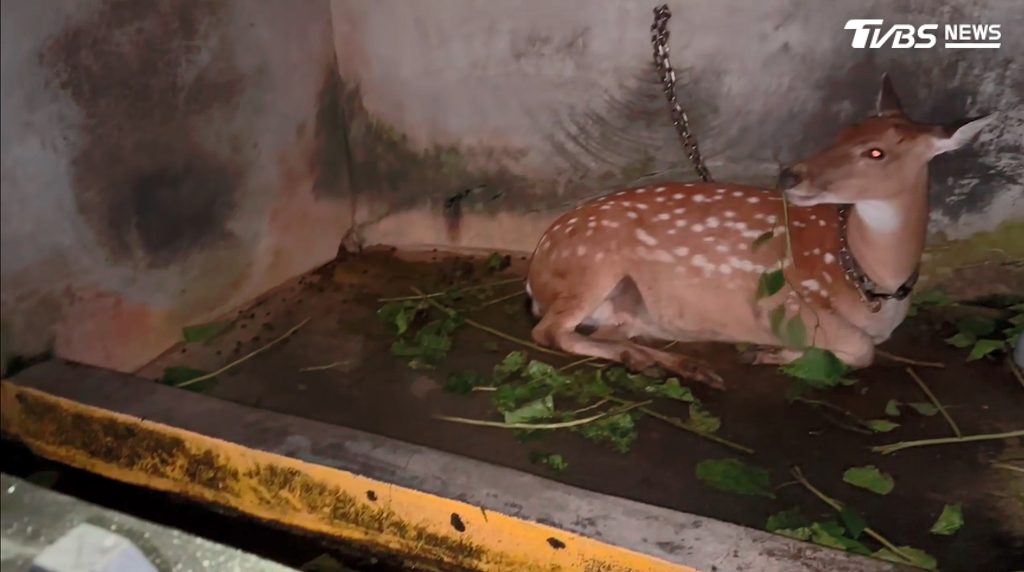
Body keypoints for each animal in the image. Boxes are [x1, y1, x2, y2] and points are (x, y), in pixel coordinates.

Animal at [524, 74, 995, 389]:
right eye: (844, 131)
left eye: (875, 152)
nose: (790, 174)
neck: (871, 279)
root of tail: (535, 273)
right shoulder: (784, 301)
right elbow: (862, 350)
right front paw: (769, 351)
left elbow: (862, 348)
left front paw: (764, 353)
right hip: (592, 264)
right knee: (549, 331)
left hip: (627, 304)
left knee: (597, 332)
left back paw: (671, 365)